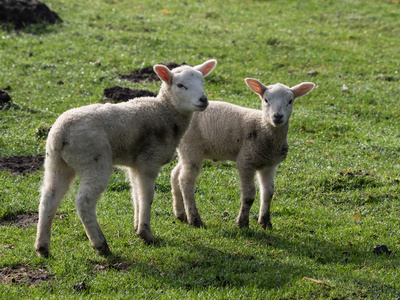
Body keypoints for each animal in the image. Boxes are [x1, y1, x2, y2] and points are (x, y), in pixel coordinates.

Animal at [34, 59, 219, 258]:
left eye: (202, 82)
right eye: (181, 85)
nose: (203, 100)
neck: (164, 112)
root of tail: (61, 135)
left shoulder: (134, 165)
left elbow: (135, 194)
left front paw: (137, 228)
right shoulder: (149, 161)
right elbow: (147, 196)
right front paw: (146, 234)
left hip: (56, 162)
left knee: (49, 197)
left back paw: (42, 247)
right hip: (93, 160)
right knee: (84, 202)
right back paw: (100, 244)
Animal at [170, 78, 314, 230]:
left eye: (290, 101)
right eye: (266, 100)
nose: (278, 116)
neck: (263, 128)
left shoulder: (269, 164)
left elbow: (268, 193)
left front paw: (265, 222)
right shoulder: (246, 160)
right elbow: (249, 195)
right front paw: (243, 223)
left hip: (186, 149)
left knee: (175, 174)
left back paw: (180, 214)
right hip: (191, 147)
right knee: (186, 181)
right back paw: (195, 219)